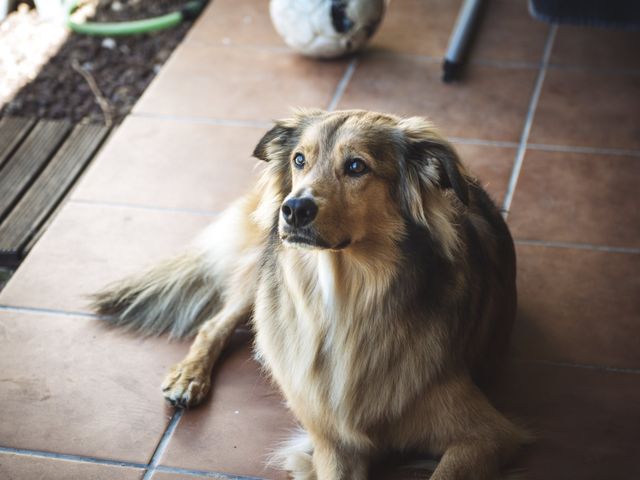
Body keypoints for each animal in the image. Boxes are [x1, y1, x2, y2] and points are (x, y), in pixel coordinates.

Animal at [91, 109, 528, 480]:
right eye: (299, 160)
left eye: (356, 166)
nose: (293, 209)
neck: (344, 298)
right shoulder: (333, 440)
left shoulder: (486, 436)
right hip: (263, 272)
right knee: (216, 322)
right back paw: (189, 375)